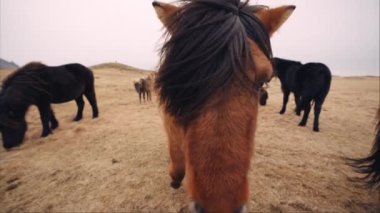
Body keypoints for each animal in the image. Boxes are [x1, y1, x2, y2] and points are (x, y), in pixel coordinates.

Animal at [153, 0, 296, 212]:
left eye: (264, 80)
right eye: (183, 80)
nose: (220, 206)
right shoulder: (169, 121)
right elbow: (176, 154)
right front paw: (175, 178)